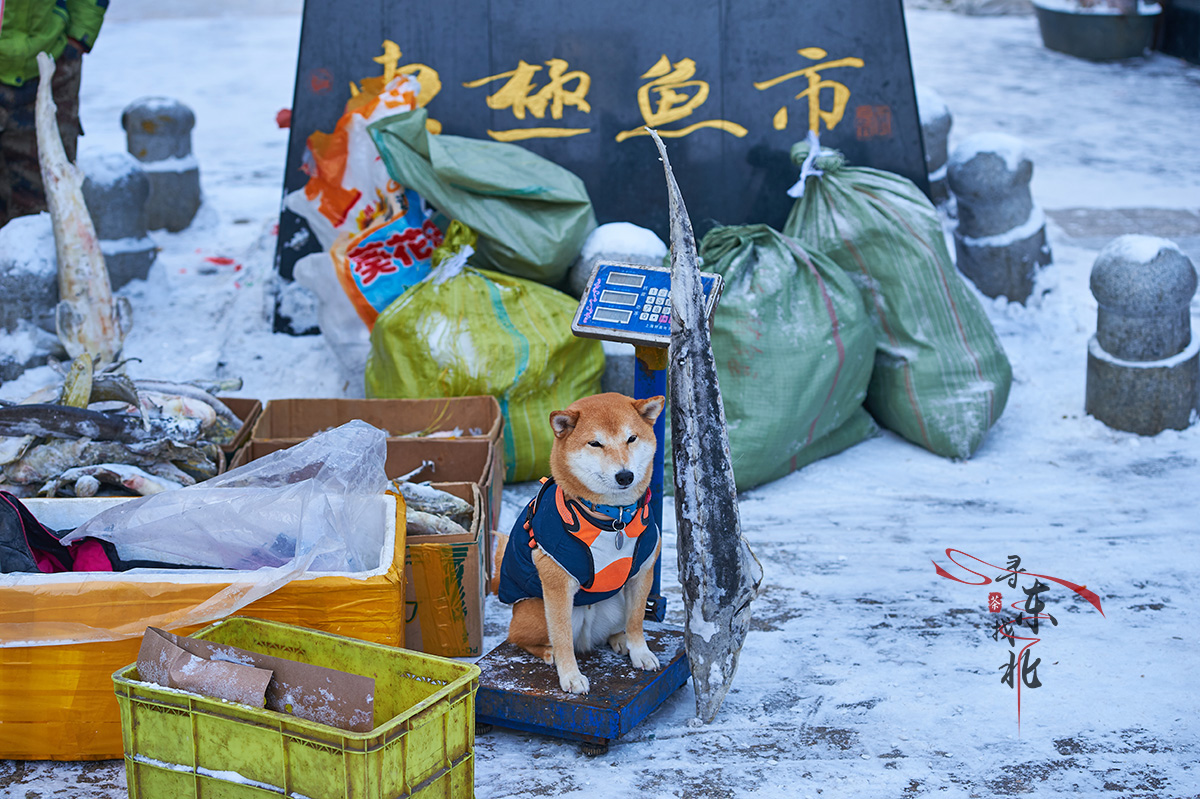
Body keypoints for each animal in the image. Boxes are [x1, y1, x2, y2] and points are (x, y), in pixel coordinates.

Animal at [496, 391, 667, 691]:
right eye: (595, 443)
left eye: (631, 438)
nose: (625, 475)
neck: (613, 518)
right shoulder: (557, 584)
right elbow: (562, 637)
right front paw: (571, 676)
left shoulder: (642, 573)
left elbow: (636, 621)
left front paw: (640, 652)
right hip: (538, 611)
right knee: (520, 638)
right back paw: (548, 652)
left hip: (615, 603)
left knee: (616, 627)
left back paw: (619, 639)